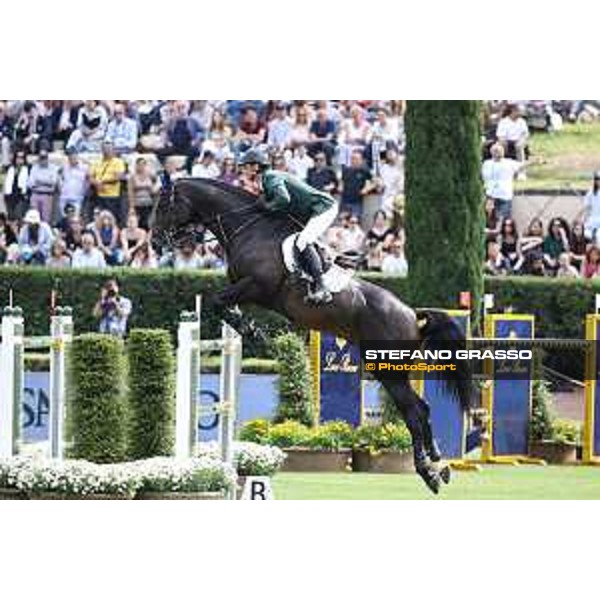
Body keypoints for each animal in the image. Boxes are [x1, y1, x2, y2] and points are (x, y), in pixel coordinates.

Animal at [151, 177, 474, 492]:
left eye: (163, 206)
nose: (154, 243)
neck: (248, 228)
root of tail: (411, 314)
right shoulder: (244, 290)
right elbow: (223, 304)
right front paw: (247, 327)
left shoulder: (256, 286)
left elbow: (217, 300)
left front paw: (251, 330)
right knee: (422, 410)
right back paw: (439, 463)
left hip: (388, 370)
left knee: (414, 412)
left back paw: (428, 472)